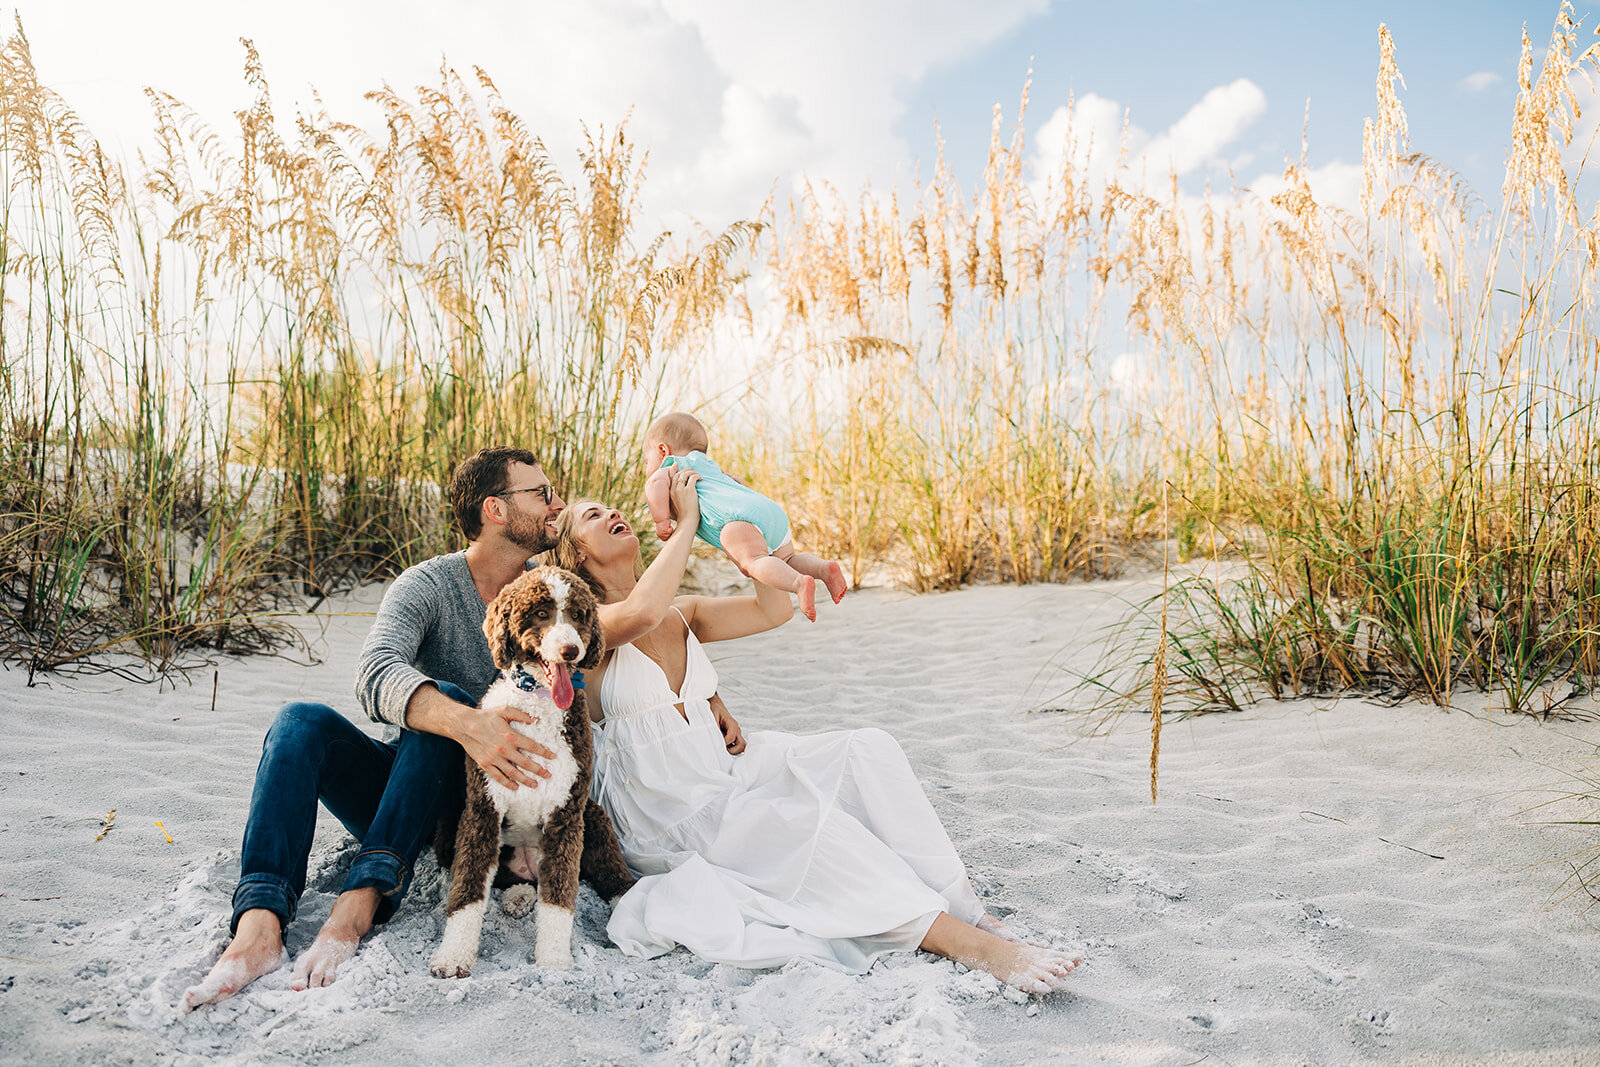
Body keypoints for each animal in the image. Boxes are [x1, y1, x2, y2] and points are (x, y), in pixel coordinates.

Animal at [432, 566, 643, 979]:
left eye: (578, 615)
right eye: (541, 613)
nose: (571, 650)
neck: (540, 700)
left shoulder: (566, 814)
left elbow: (559, 898)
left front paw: (554, 962)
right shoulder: (482, 809)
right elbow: (468, 889)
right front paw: (453, 956)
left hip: (593, 817)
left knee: (611, 876)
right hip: (450, 824)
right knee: (503, 879)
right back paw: (519, 894)